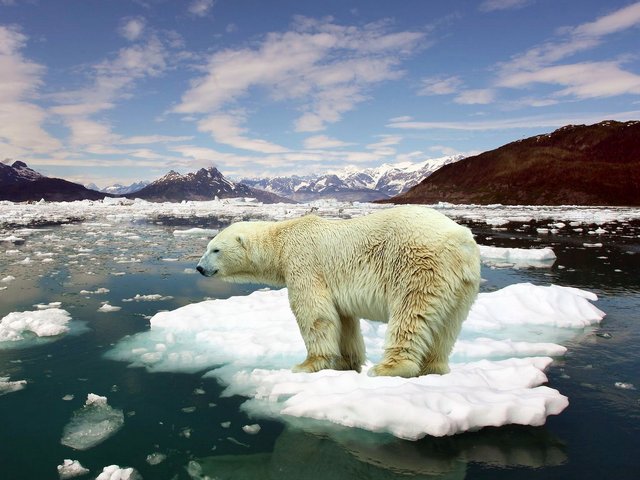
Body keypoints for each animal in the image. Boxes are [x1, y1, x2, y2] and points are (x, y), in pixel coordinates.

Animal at [196, 206, 481, 378]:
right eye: (208, 247)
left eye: (215, 250)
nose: (199, 268)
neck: (281, 241)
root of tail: (461, 241)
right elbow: (344, 320)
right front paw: (347, 363)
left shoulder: (304, 262)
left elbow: (314, 313)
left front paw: (306, 365)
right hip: (462, 285)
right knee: (447, 326)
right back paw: (434, 368)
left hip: (418, 266)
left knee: (411, 314)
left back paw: (388, 368)